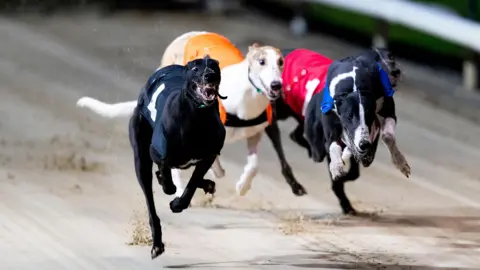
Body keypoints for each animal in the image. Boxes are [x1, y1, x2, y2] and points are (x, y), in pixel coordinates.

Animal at [80, 55, 225, 260]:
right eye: (195, 68)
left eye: (214, 66)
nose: (209, 75)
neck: (197, 116)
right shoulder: (157, 152)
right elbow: (168, 176)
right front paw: (168, 186)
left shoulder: (209, 155)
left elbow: (191, 184)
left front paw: (179, 202)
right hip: (141, 160)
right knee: (152, 204)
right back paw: (157, 244)